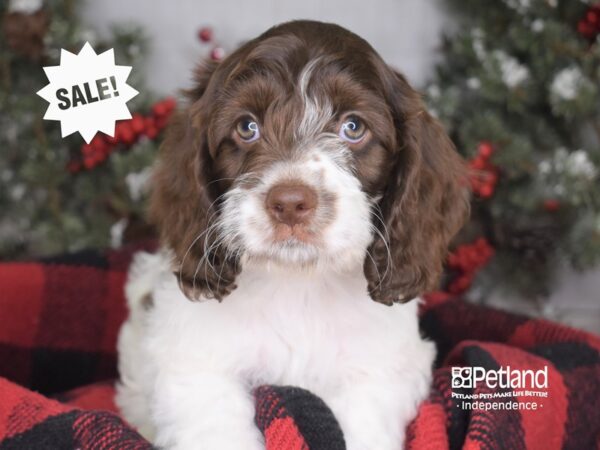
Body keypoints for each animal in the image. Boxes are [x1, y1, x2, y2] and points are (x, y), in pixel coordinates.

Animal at [115, 20, 466, 450]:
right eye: (247, 127)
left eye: (353, 127)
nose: (290, 202)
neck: (299, 284)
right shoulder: (198, 365)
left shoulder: (379, 370)